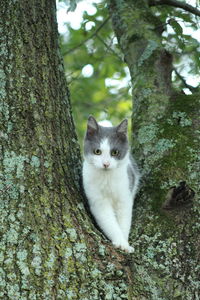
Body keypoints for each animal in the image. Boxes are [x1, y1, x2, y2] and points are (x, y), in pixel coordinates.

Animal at [82, 116, 140, 252]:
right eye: (97, 151)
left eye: (115, 152)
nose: (106, 164)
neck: (107, 178)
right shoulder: (98, 201)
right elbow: (109, 222)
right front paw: (120, 242)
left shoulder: (125, 195)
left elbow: (124, 220)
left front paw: (126, 244)